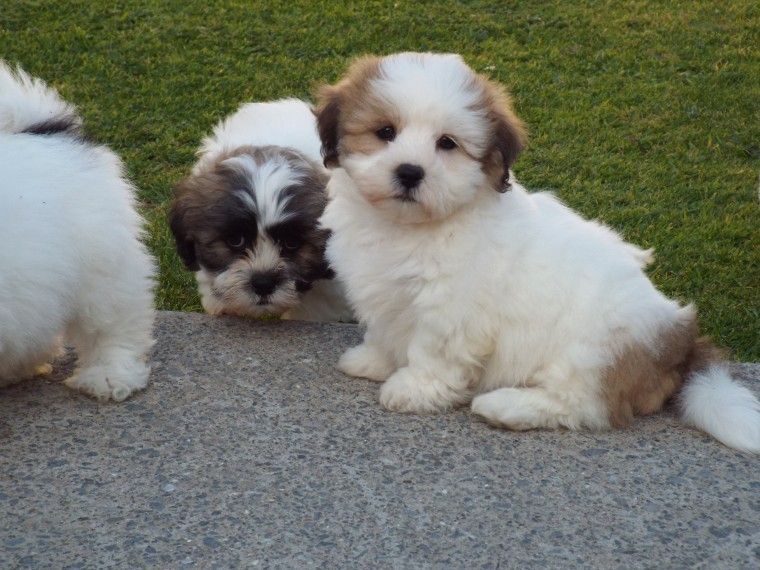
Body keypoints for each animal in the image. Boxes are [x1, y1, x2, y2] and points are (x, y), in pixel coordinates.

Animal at [314, 53, 760, 452]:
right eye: (385, 131)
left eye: (447, 143)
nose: (410, 172)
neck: (411, 227)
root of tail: (680, 344)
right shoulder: (382, 289)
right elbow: (384, 328)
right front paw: (373, 359)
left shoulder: (452, 310)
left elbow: (432, 351)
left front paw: (412, 389)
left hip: (595, 351)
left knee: (585, 405)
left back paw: (507, 406)